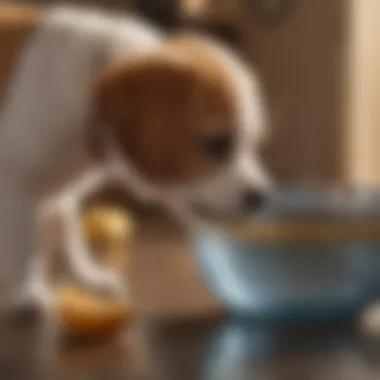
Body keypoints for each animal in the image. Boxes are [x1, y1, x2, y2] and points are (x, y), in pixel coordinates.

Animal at [0, 3, 270, 314]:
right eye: (218, 143)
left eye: (255, 141)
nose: (262, 198)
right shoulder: (14, 183)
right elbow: (25, 244)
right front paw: (27, 290)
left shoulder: (62, 191)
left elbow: (67, 230)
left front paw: (87, 277)